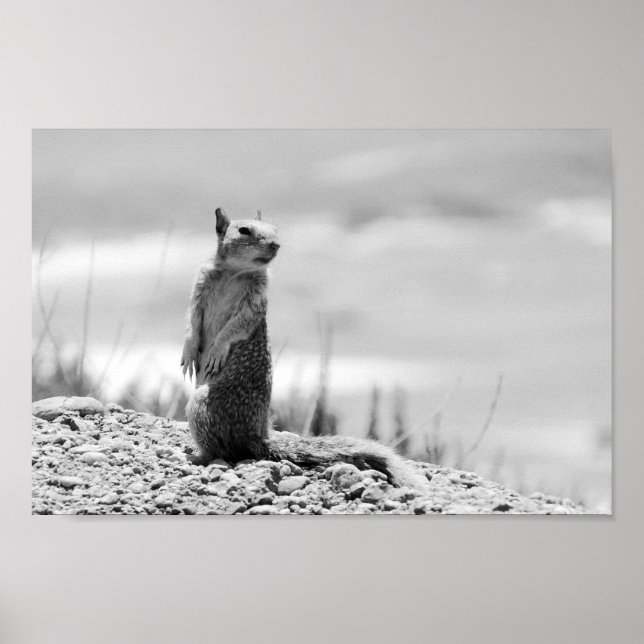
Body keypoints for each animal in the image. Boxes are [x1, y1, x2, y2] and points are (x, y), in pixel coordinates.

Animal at [181, 208, 427, 488]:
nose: (276, 244)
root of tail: (257, 437)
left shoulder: (255, 300)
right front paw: (188, 352)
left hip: (201, 403)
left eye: (276, 229)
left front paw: (216, 350)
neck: (234, 272)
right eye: (244, 230)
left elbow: (236, 326)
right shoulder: (199, 284)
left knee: (222, 451)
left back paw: (195, 456)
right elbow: (191, 319)